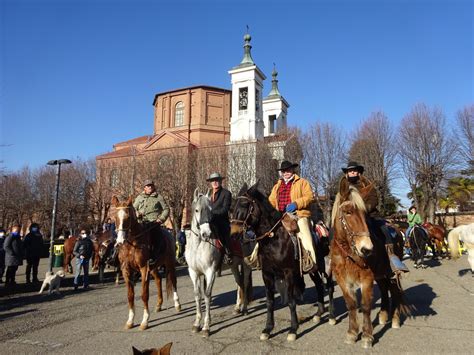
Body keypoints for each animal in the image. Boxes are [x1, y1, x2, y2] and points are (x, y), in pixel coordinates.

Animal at [112, 195, 182, 330]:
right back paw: (159, 305)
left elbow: (144, 294)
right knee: (159, 280)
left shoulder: (144, 268)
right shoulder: (126, 269)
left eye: (128, 217)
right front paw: (130, 320)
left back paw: (177, 304)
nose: (120, 241)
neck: (132, 244)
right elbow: (130, 295)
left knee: (174, 281)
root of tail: (169, 234)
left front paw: (145, 321)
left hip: (170, 263)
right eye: (115, 217)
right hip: (154, 267)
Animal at [185, 191, 222, 338]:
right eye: (197, 210)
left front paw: (206, 326)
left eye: (211, 210)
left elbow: (207, 295)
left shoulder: (210, 272)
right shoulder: (194, 272)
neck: (198, 245)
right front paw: (197, 323)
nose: (206, 234)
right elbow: (197, 294)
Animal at [330, 182, 412, 350]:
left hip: (390, 273)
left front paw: (367, 336)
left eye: (365, 214)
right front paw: (352, 333)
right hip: (381, 274)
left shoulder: (366, 278)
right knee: (384, 289)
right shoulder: (342, 280)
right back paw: (383, 315)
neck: (348, 254)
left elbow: (366, 306)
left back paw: (394, 320)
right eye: (347, 212)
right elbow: (351, 305)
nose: (367, 249)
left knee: (394, 291)